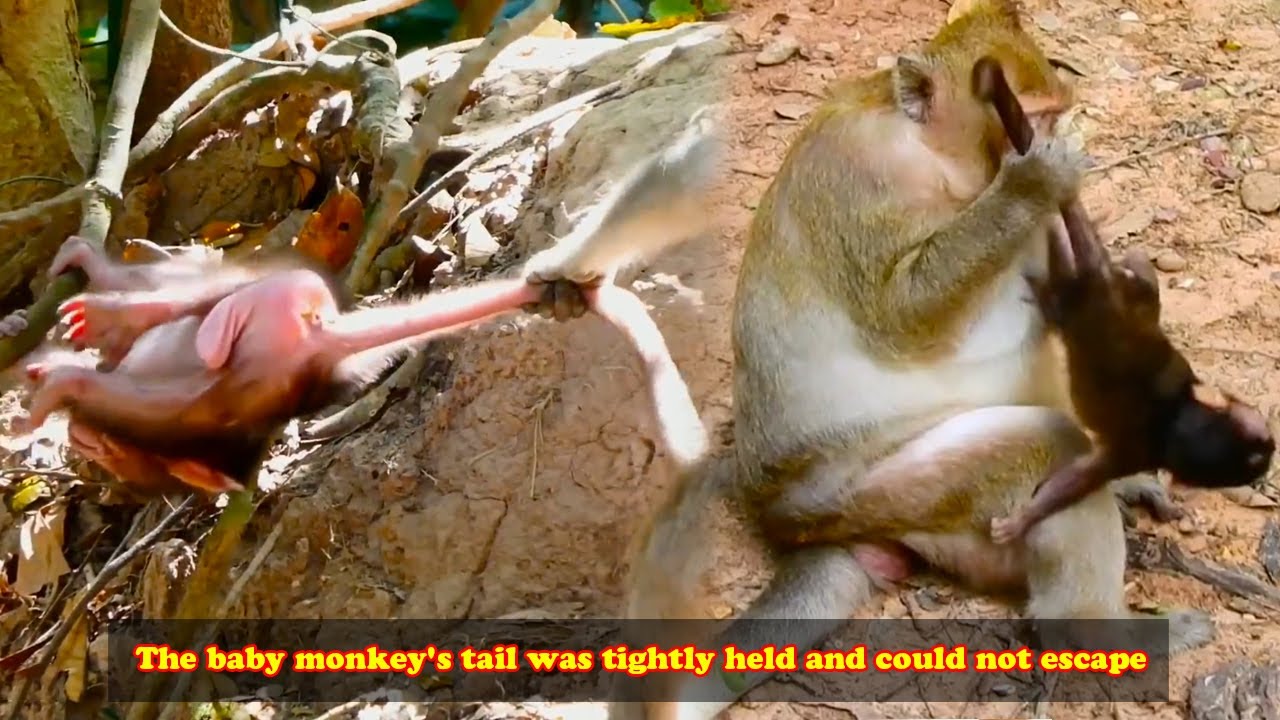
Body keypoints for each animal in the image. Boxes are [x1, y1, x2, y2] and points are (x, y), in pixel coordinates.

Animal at [570, 2, 1218, 718]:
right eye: (1031, 119)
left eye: (1055, 111)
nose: (1054, 142)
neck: (937, 163)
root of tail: (812, 532)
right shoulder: (861, 172)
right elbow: (904, 311)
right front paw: (1031, 183)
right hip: (872, 496)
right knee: (1039, 446)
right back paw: (1099, 634)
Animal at [967, 57, 1275, 544]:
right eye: (1260, 445)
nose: (1270, 446)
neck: (1179, 413)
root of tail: (1100, 284)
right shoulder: (1143, 443)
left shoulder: (1143, 445)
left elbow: (1078, 480)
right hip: (1100, 296)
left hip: (1089, 295)